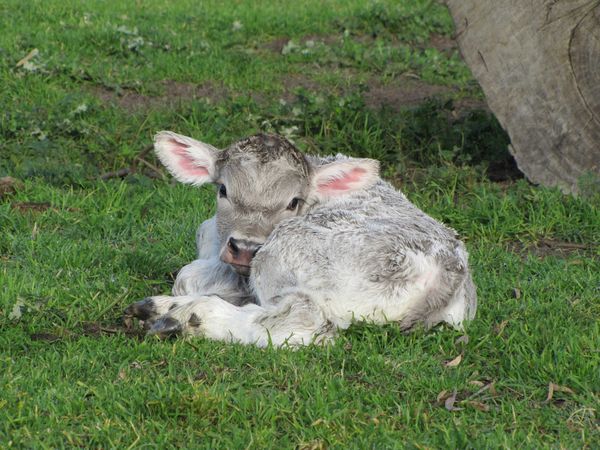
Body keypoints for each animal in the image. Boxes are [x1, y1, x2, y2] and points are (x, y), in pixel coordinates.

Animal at [123, 132, 478, 346]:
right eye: (223, 190)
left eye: (293, 202)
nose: (245, 249)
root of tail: (448, 272)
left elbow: (187, 276)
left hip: (286, 250)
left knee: (300, 317)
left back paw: (188, 317)